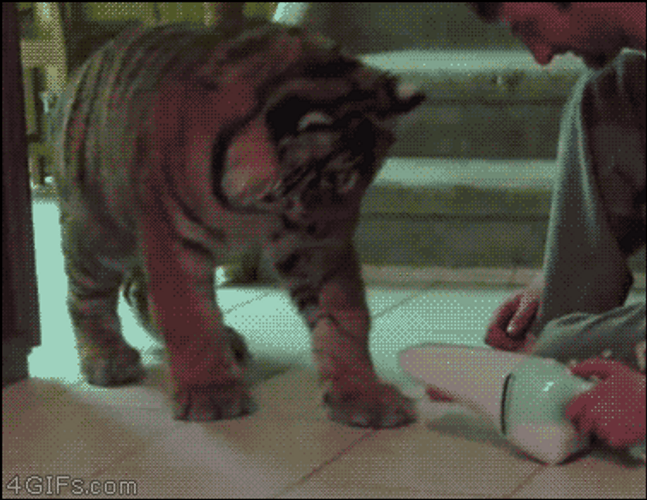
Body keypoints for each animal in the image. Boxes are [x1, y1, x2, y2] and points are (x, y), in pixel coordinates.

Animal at [49, 17, 425, 427]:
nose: (338, 239)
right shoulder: (174, 240)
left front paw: (363, 395)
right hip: (100, 234)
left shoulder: (308, 249)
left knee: (137, 290)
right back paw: (106, 357)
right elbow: (189, 315)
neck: (253, 206)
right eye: (333, 182)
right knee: (84, 296)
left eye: (366, 184)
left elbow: (344, 316)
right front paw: (211, 394)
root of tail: (87, 61)